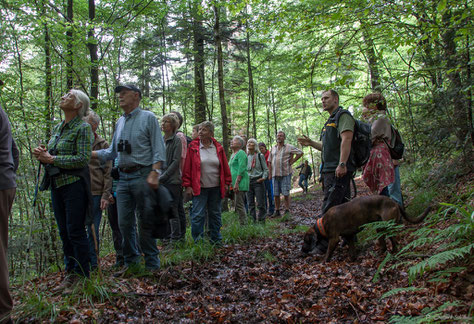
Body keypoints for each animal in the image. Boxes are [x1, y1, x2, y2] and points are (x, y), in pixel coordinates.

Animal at [302, 195, 432, 260]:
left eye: (306, 240)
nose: (302, 250)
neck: (322, 224)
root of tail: (394, 202)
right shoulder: (349, 236)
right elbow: (352, 250)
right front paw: (353, 258)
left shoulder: (334, 239)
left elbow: (329, 252)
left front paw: (325, 261)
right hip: (380, 228)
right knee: (385, 242)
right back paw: (381, 252)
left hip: (388, 226)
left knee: (394, 240)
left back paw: (394, 252)